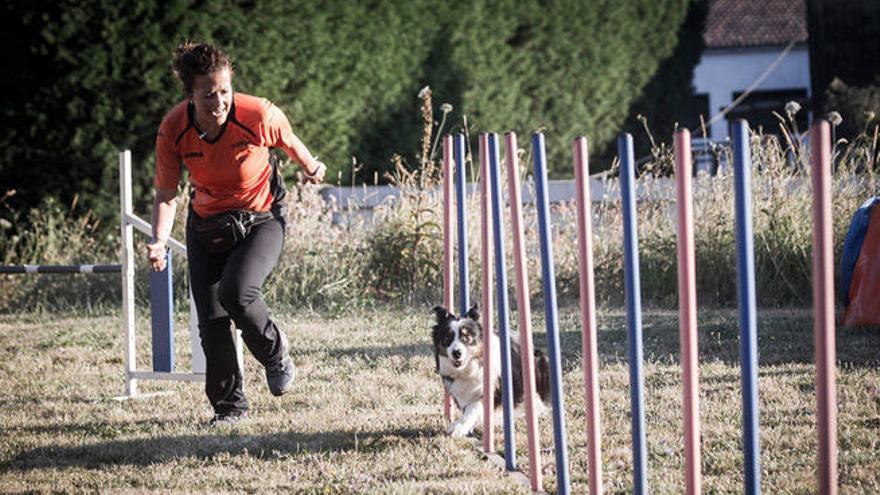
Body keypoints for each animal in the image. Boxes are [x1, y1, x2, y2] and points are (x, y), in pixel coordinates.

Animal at [434, 302, 552, 438]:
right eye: (447, 337)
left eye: (467, 337)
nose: (456, 353)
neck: (470, 368)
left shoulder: (494, 387)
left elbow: (474, 407)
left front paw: (458, 427)